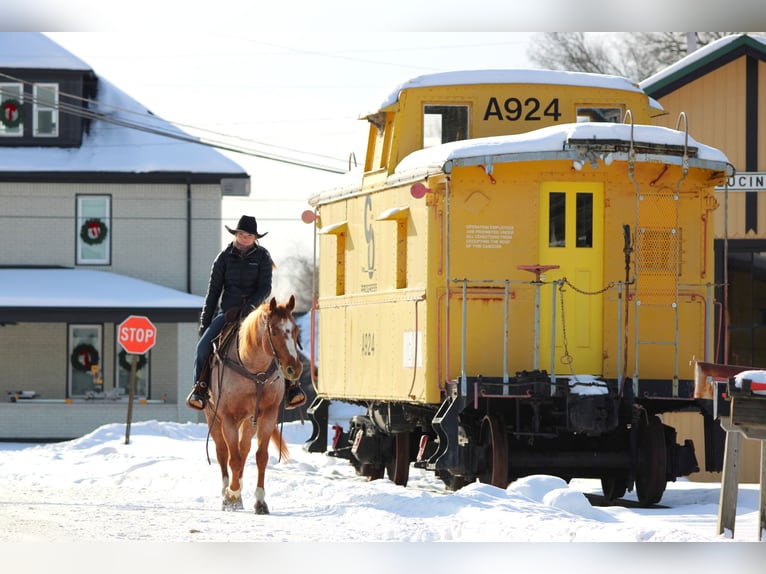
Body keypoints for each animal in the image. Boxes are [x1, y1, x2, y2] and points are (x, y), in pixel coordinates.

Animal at [204, 294, 303, 514]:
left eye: (295, 330)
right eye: (274, 331)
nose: (294, 368)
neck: (254, 370)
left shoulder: (267, 415)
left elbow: (260, 457)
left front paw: (259, 501)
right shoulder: (228, 417)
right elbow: (232, 458)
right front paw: (232, 494)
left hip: (249, 422)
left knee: (243, 449)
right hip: (213, 417)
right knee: (223, 452)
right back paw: (226, 493)